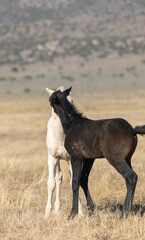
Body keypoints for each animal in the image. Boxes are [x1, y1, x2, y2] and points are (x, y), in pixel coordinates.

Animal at [44, 86, 82, 218]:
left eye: (72, 100)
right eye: (52, 101)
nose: (71, 114)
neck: (60, 137)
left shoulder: (71, 159)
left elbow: (73, 182)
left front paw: (80, 212)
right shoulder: (52, 158)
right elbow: (51, 183)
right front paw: (47, 213)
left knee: (60, 177)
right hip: (57, 160)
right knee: (58, 177)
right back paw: (55, 209)